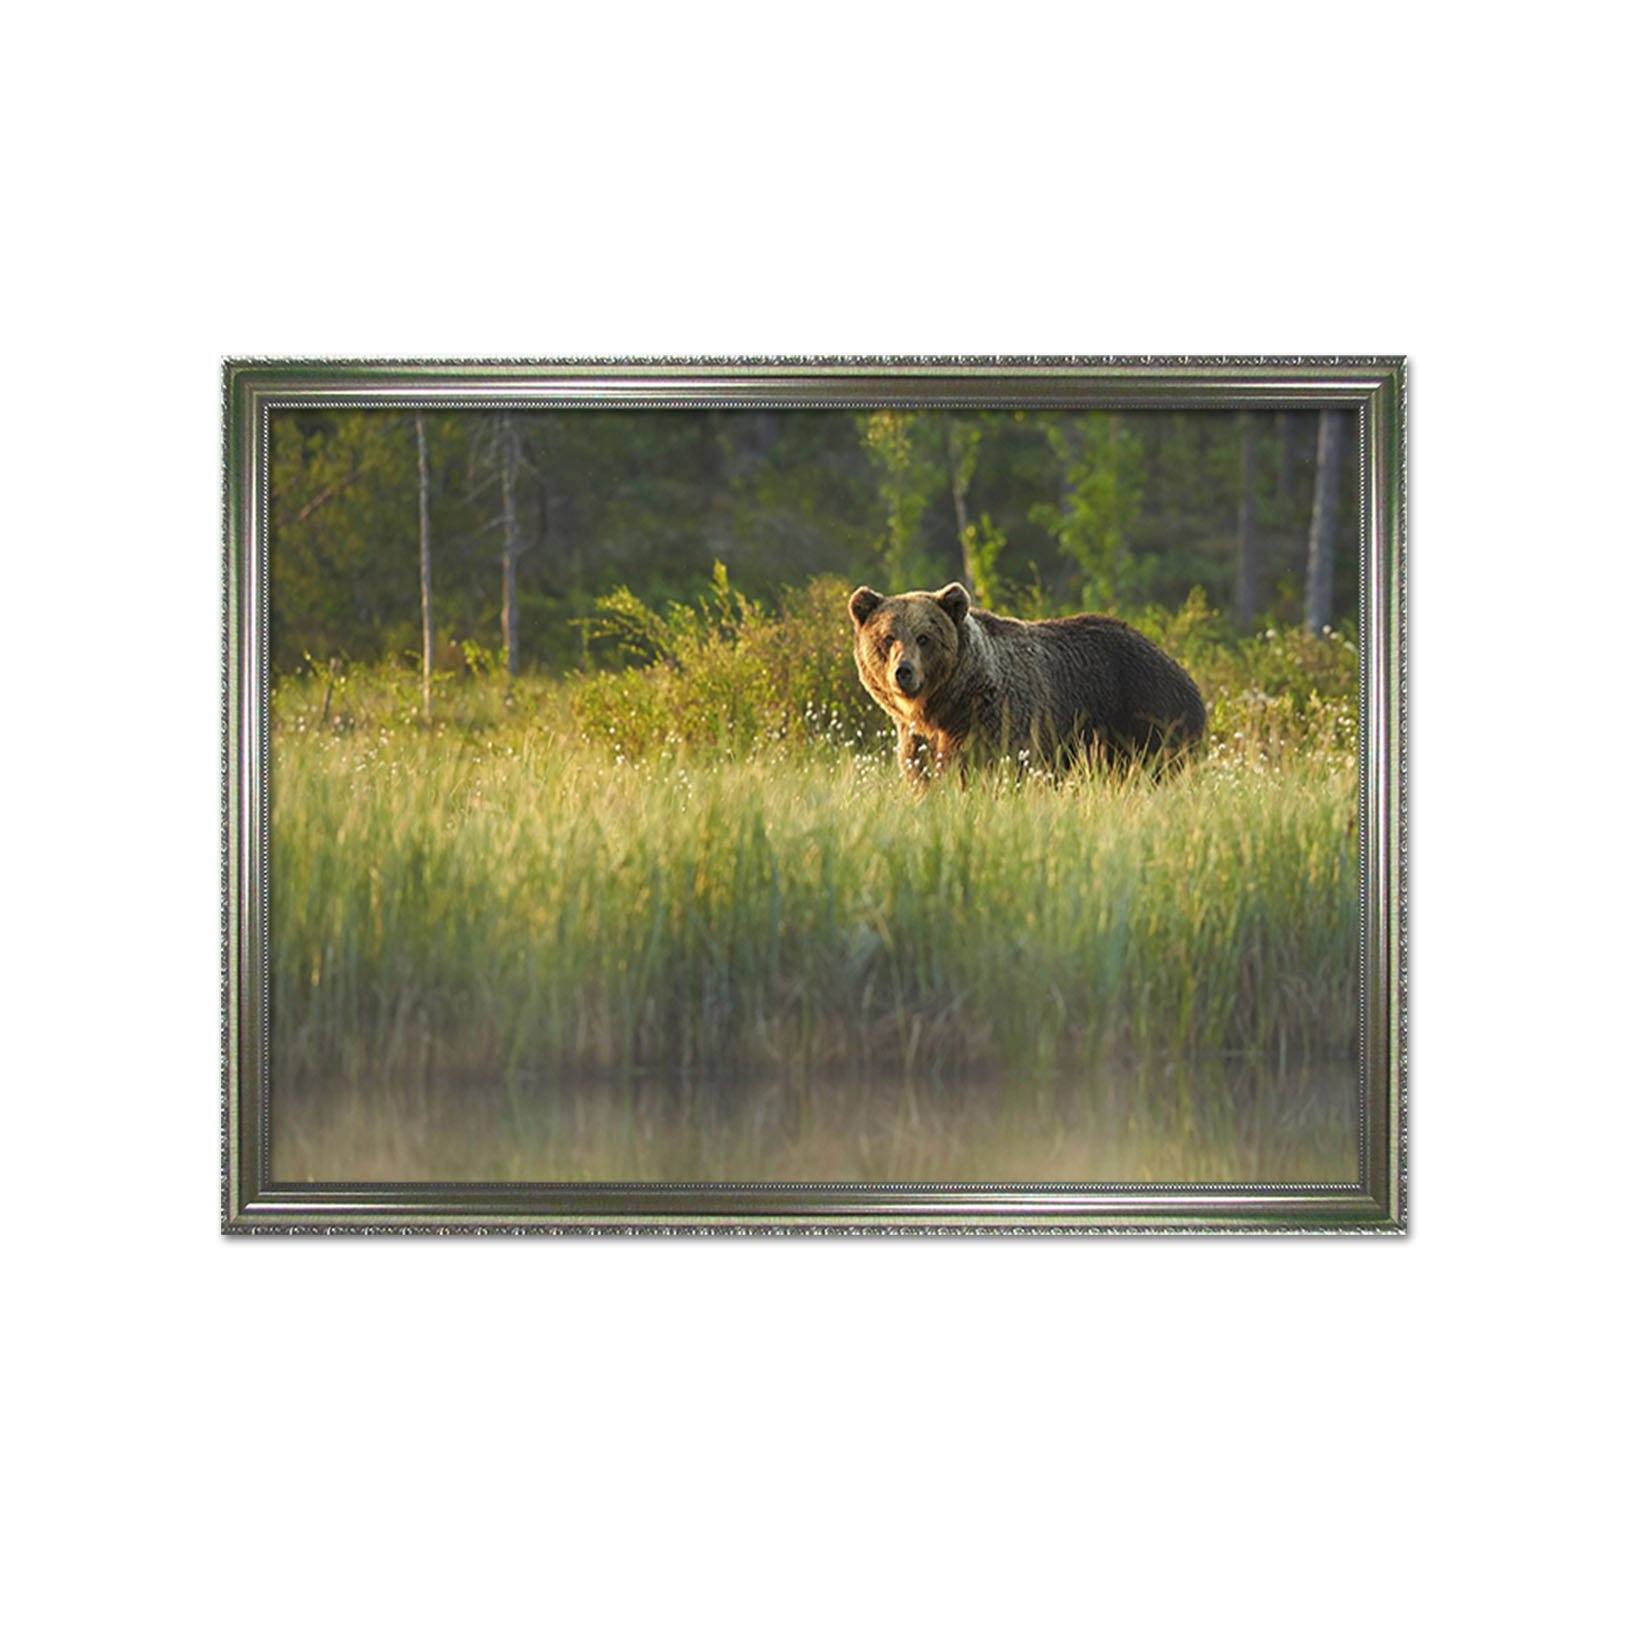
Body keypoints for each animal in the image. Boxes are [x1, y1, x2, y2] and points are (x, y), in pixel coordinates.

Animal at [848, 581, 1205, 784]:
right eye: (888, 637)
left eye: (924, 638)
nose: (903, 671)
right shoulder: (918, 738)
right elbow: (923, 775)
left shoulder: (998, 720)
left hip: (1148, 715)